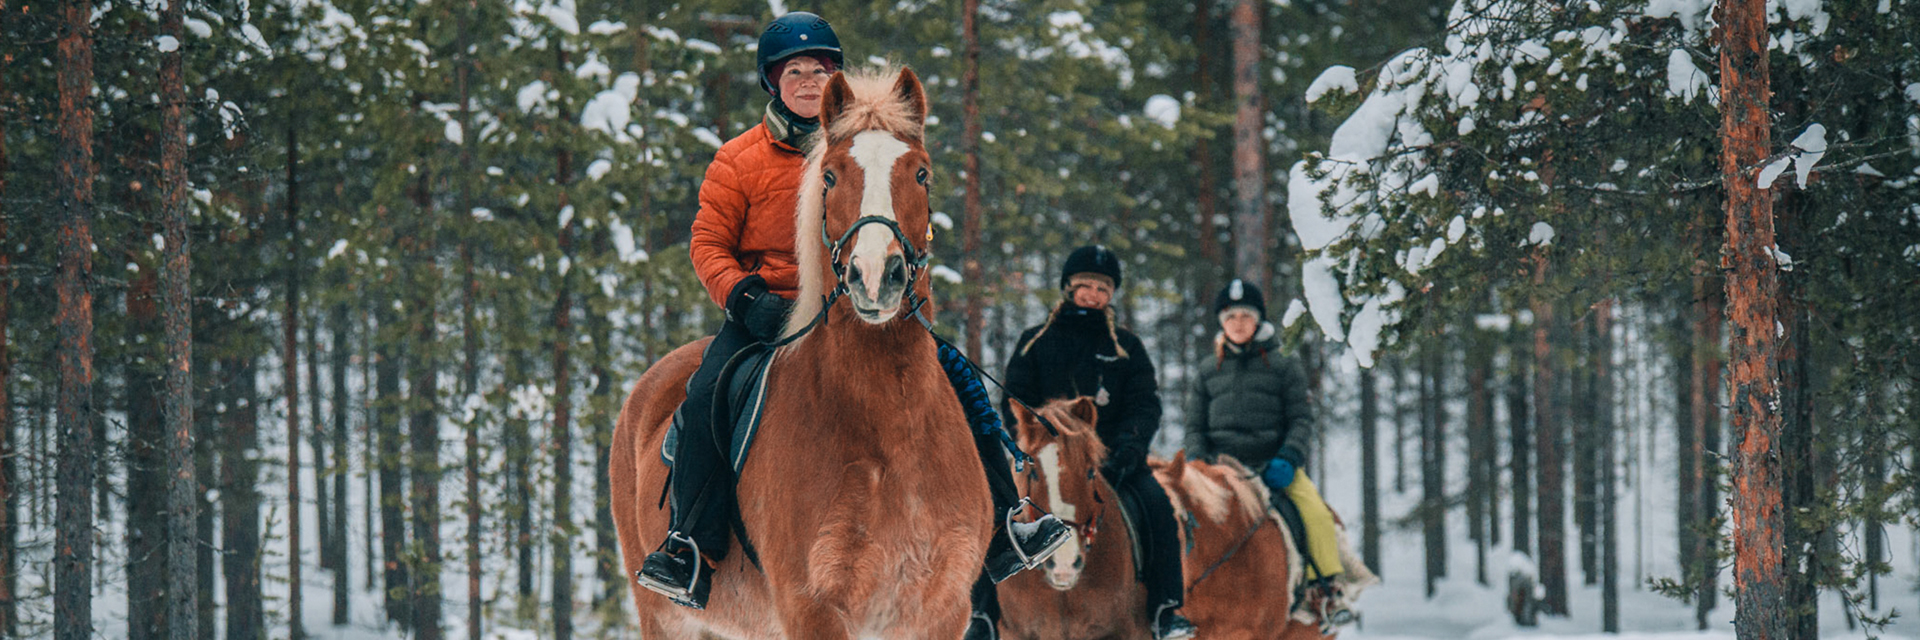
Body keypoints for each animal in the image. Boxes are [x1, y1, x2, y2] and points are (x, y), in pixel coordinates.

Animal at [610, 66, 991, 640]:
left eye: (921, 173)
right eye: (830, 177)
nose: (875, 276)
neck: (891, 428)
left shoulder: (942, 611)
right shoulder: (813, 607)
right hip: (666, 618)